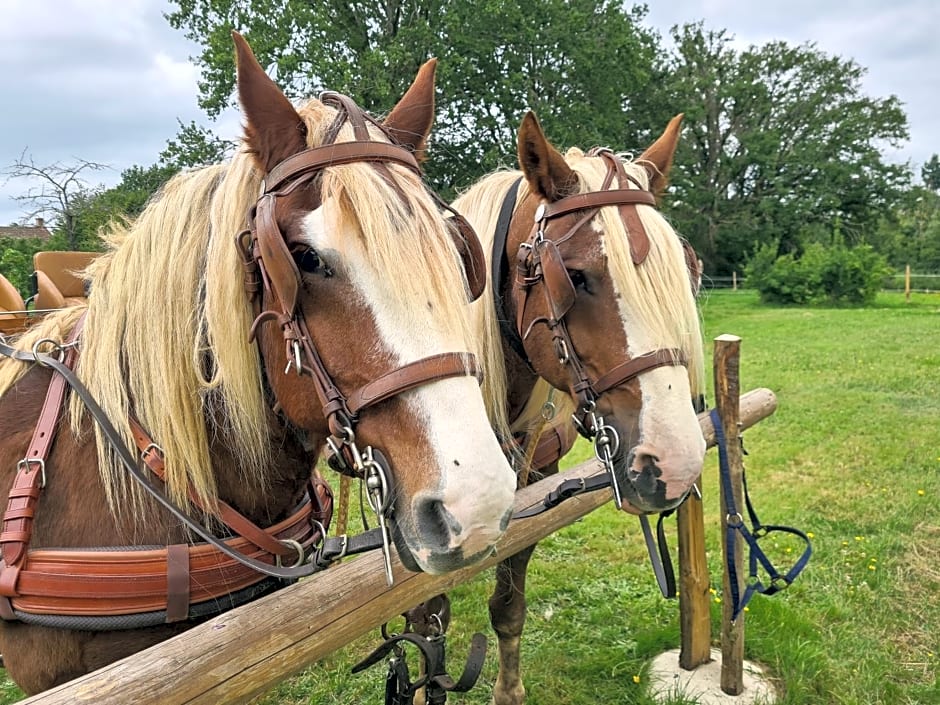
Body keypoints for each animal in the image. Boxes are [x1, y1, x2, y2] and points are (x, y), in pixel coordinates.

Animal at [440, 113, 704, 700]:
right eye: (575, 277)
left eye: (687, 271)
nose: (674, 467)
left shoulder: (536, 483)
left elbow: (509, 599)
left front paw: (508, 690)